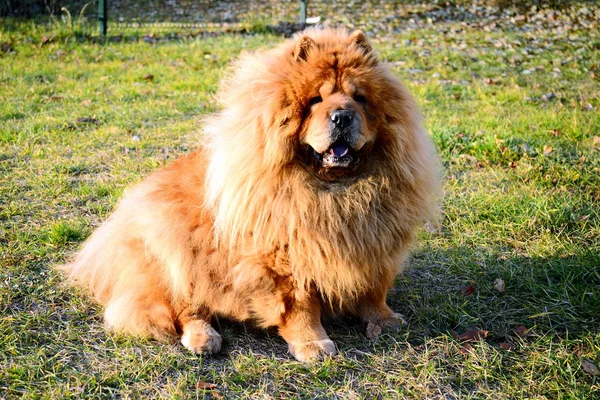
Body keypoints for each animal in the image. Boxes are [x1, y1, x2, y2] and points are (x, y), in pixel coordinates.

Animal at [63, 26, 440, 360]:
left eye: (360, 99)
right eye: (315, 101)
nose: (342, 116)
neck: (335, 190)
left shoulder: (376, 242)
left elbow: (375, 289)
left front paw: (385, 320)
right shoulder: (285, 258)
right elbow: (301, 306)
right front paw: (314, 345)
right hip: (174, 253)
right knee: (183, 308)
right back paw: (204, 338)